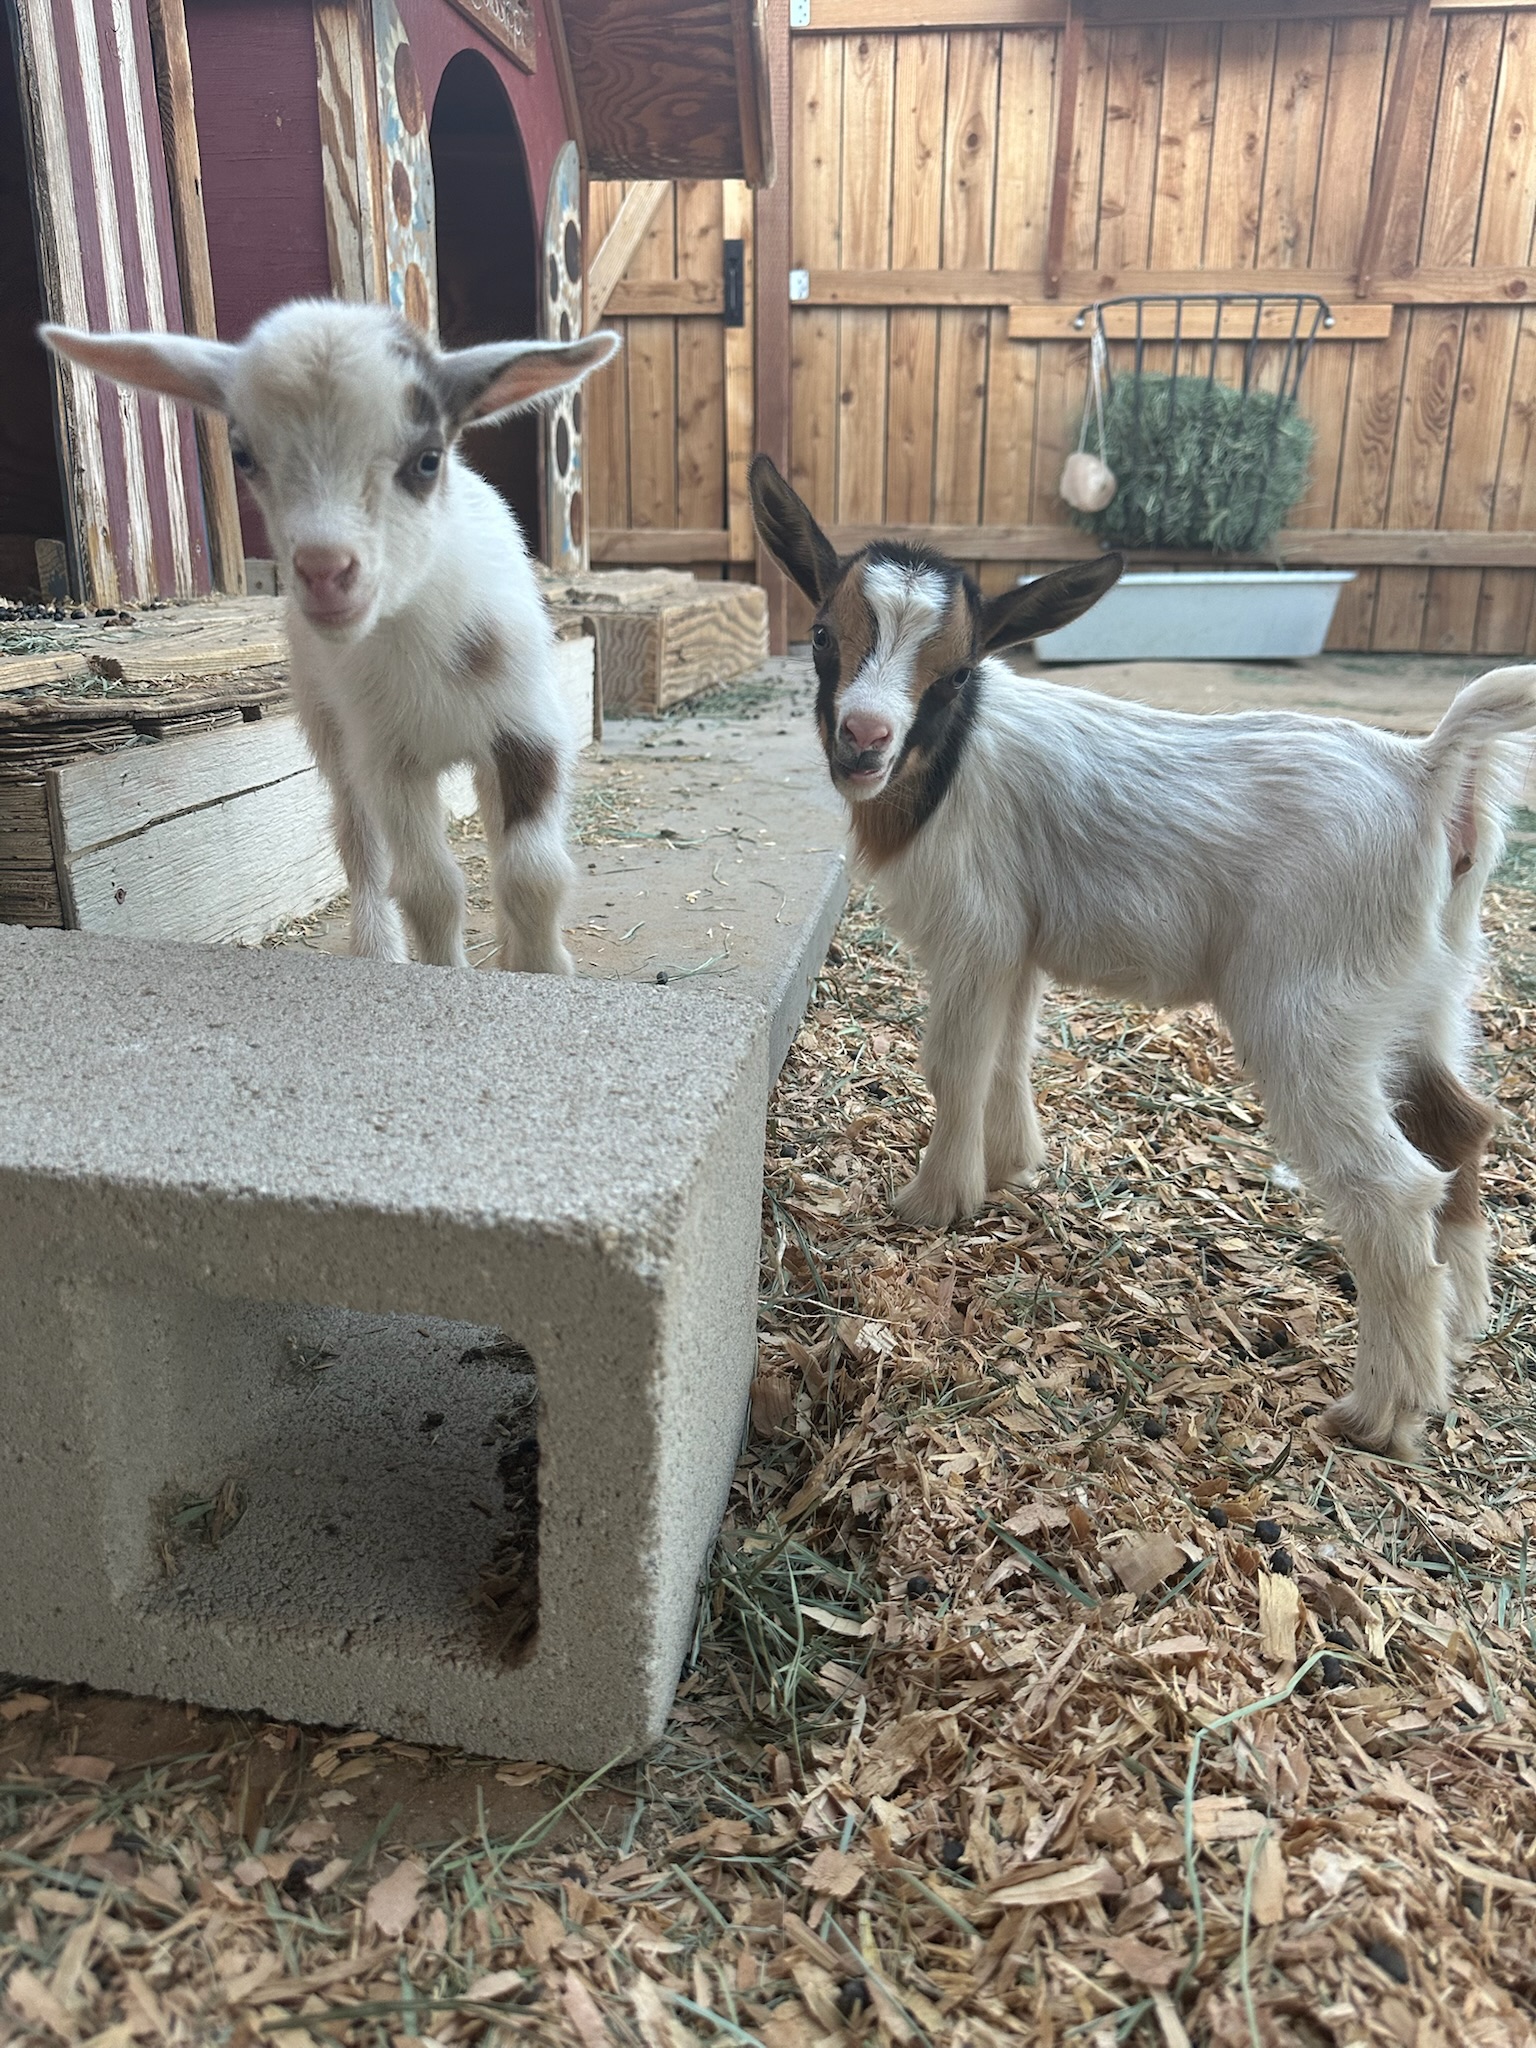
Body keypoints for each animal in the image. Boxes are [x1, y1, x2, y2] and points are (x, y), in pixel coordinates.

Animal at [44, 301, 620, 974]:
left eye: (428, 458)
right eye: (243, 455)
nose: (324, 573)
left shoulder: (529, 731)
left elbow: (534, 872)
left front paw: (540, 970)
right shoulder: (387, 759)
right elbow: (429, 888)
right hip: (329, 727)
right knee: (358, 842)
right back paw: (375, 948)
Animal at [749, 452, 1536, 1461]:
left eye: (958, 670)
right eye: (822, 634)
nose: (862, 739)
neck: (947, 764)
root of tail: (1429, 773)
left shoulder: (976, 931)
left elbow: (953, 1063)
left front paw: (933, 1201)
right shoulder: (1019, 946)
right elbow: (1010, 1051)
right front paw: (1011, 1165)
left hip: (1311, 1012)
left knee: (1395, 1185)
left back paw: (1381, 1413)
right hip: (1425, 994)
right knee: (1462, 1124)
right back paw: (1464, 1321)